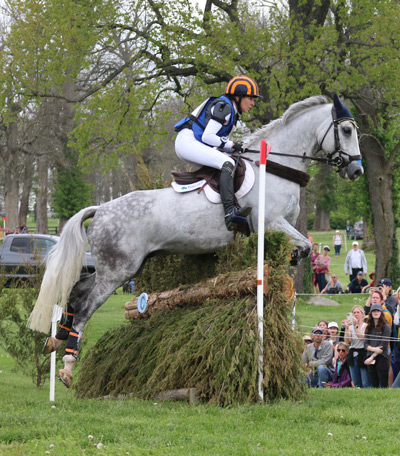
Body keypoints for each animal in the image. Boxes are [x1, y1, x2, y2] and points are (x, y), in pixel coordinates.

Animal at [28, 94, 362, 386]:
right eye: (346, 130)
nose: (356, 170)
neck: (277, 168)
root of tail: (100, 209)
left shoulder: (281, 225)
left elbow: (303, 247)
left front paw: (290, 261)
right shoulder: (269, 222)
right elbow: (303, 244)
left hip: (119, 268)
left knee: (76, 291)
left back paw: (55, 339)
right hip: (118, 271)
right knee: (85, 306)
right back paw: (67, 366)